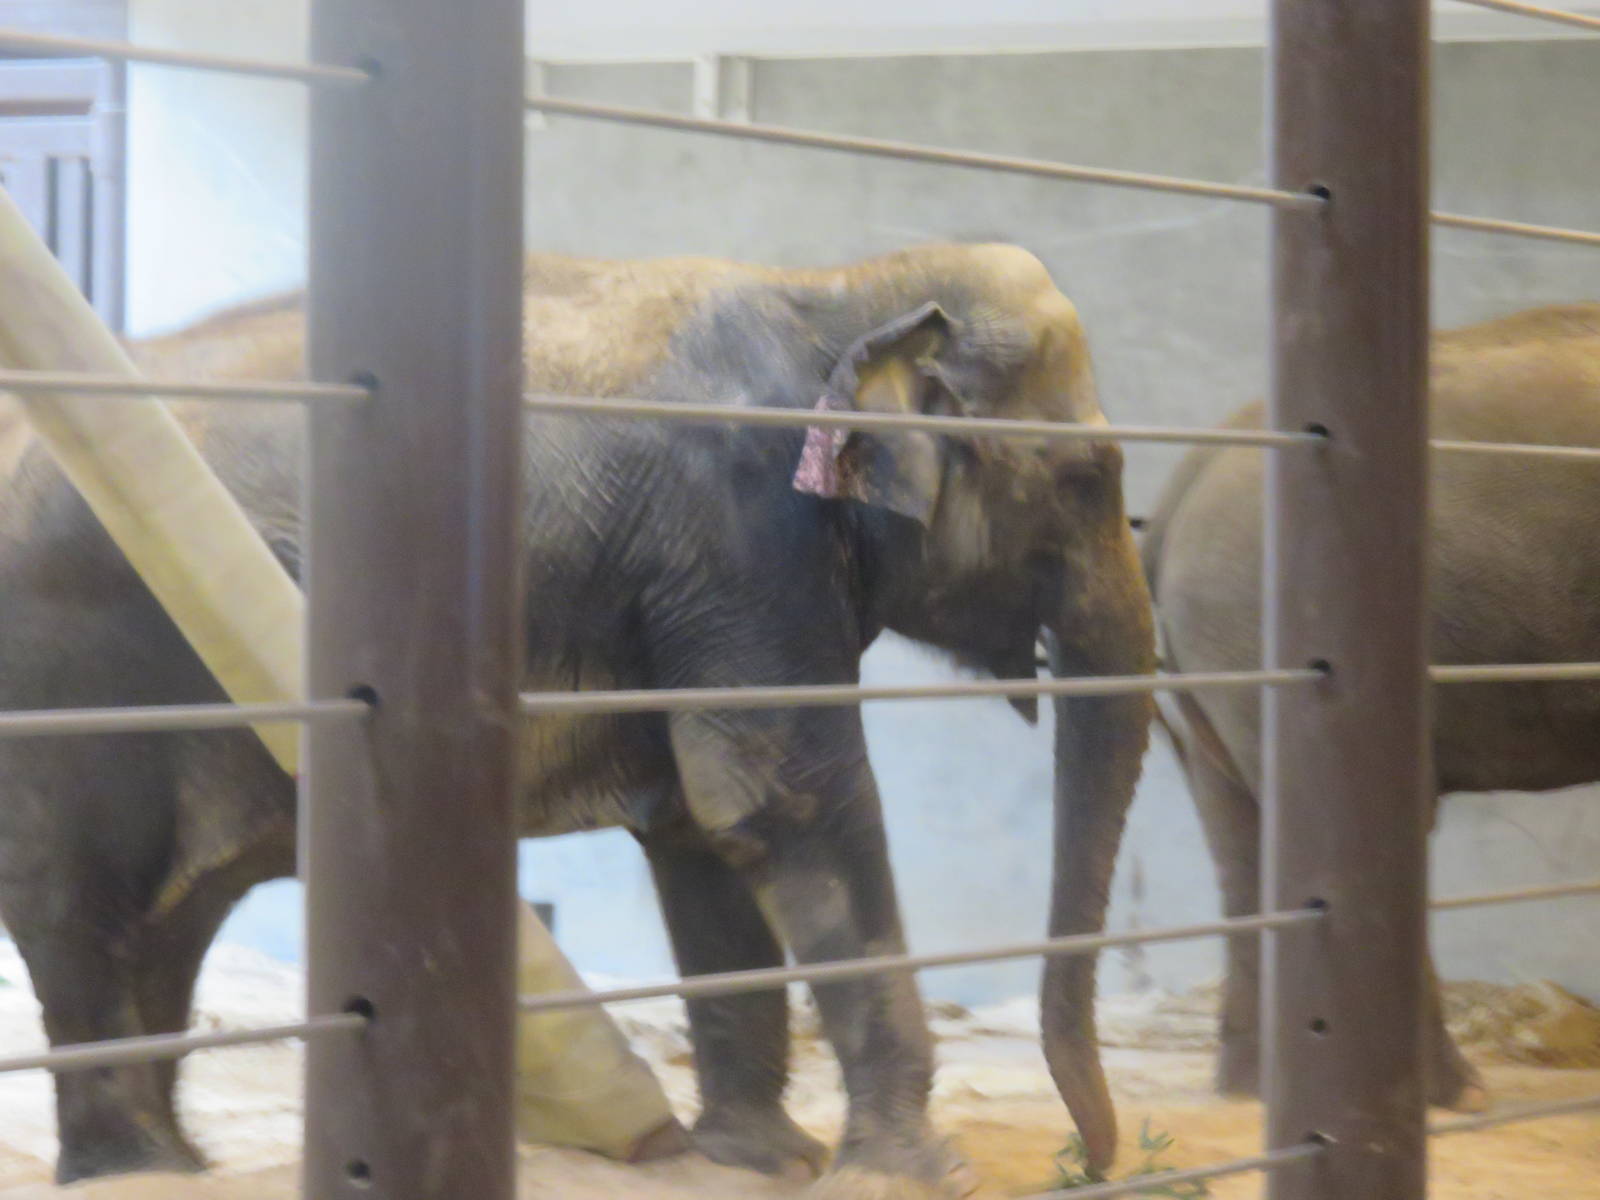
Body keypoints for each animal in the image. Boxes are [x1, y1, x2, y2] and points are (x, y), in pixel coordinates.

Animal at [0, 243, 1154, 1192]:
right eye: (1084, 476)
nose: (1092, 1161)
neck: (839, 290)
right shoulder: (737, 543)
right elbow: (789, 802)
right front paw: (911, 1177)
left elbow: (701, 826)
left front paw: (756, 1159)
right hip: (67, 686)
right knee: (79, 905)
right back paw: (136, 1171)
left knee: (173, 914)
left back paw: (178, 1164)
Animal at [1141, 302, 1600, 1113]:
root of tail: (1177, 495)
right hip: (1257, 622)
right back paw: (1444, 1096)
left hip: (1212, 665)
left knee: (1237, 834)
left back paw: (1252, 1089)